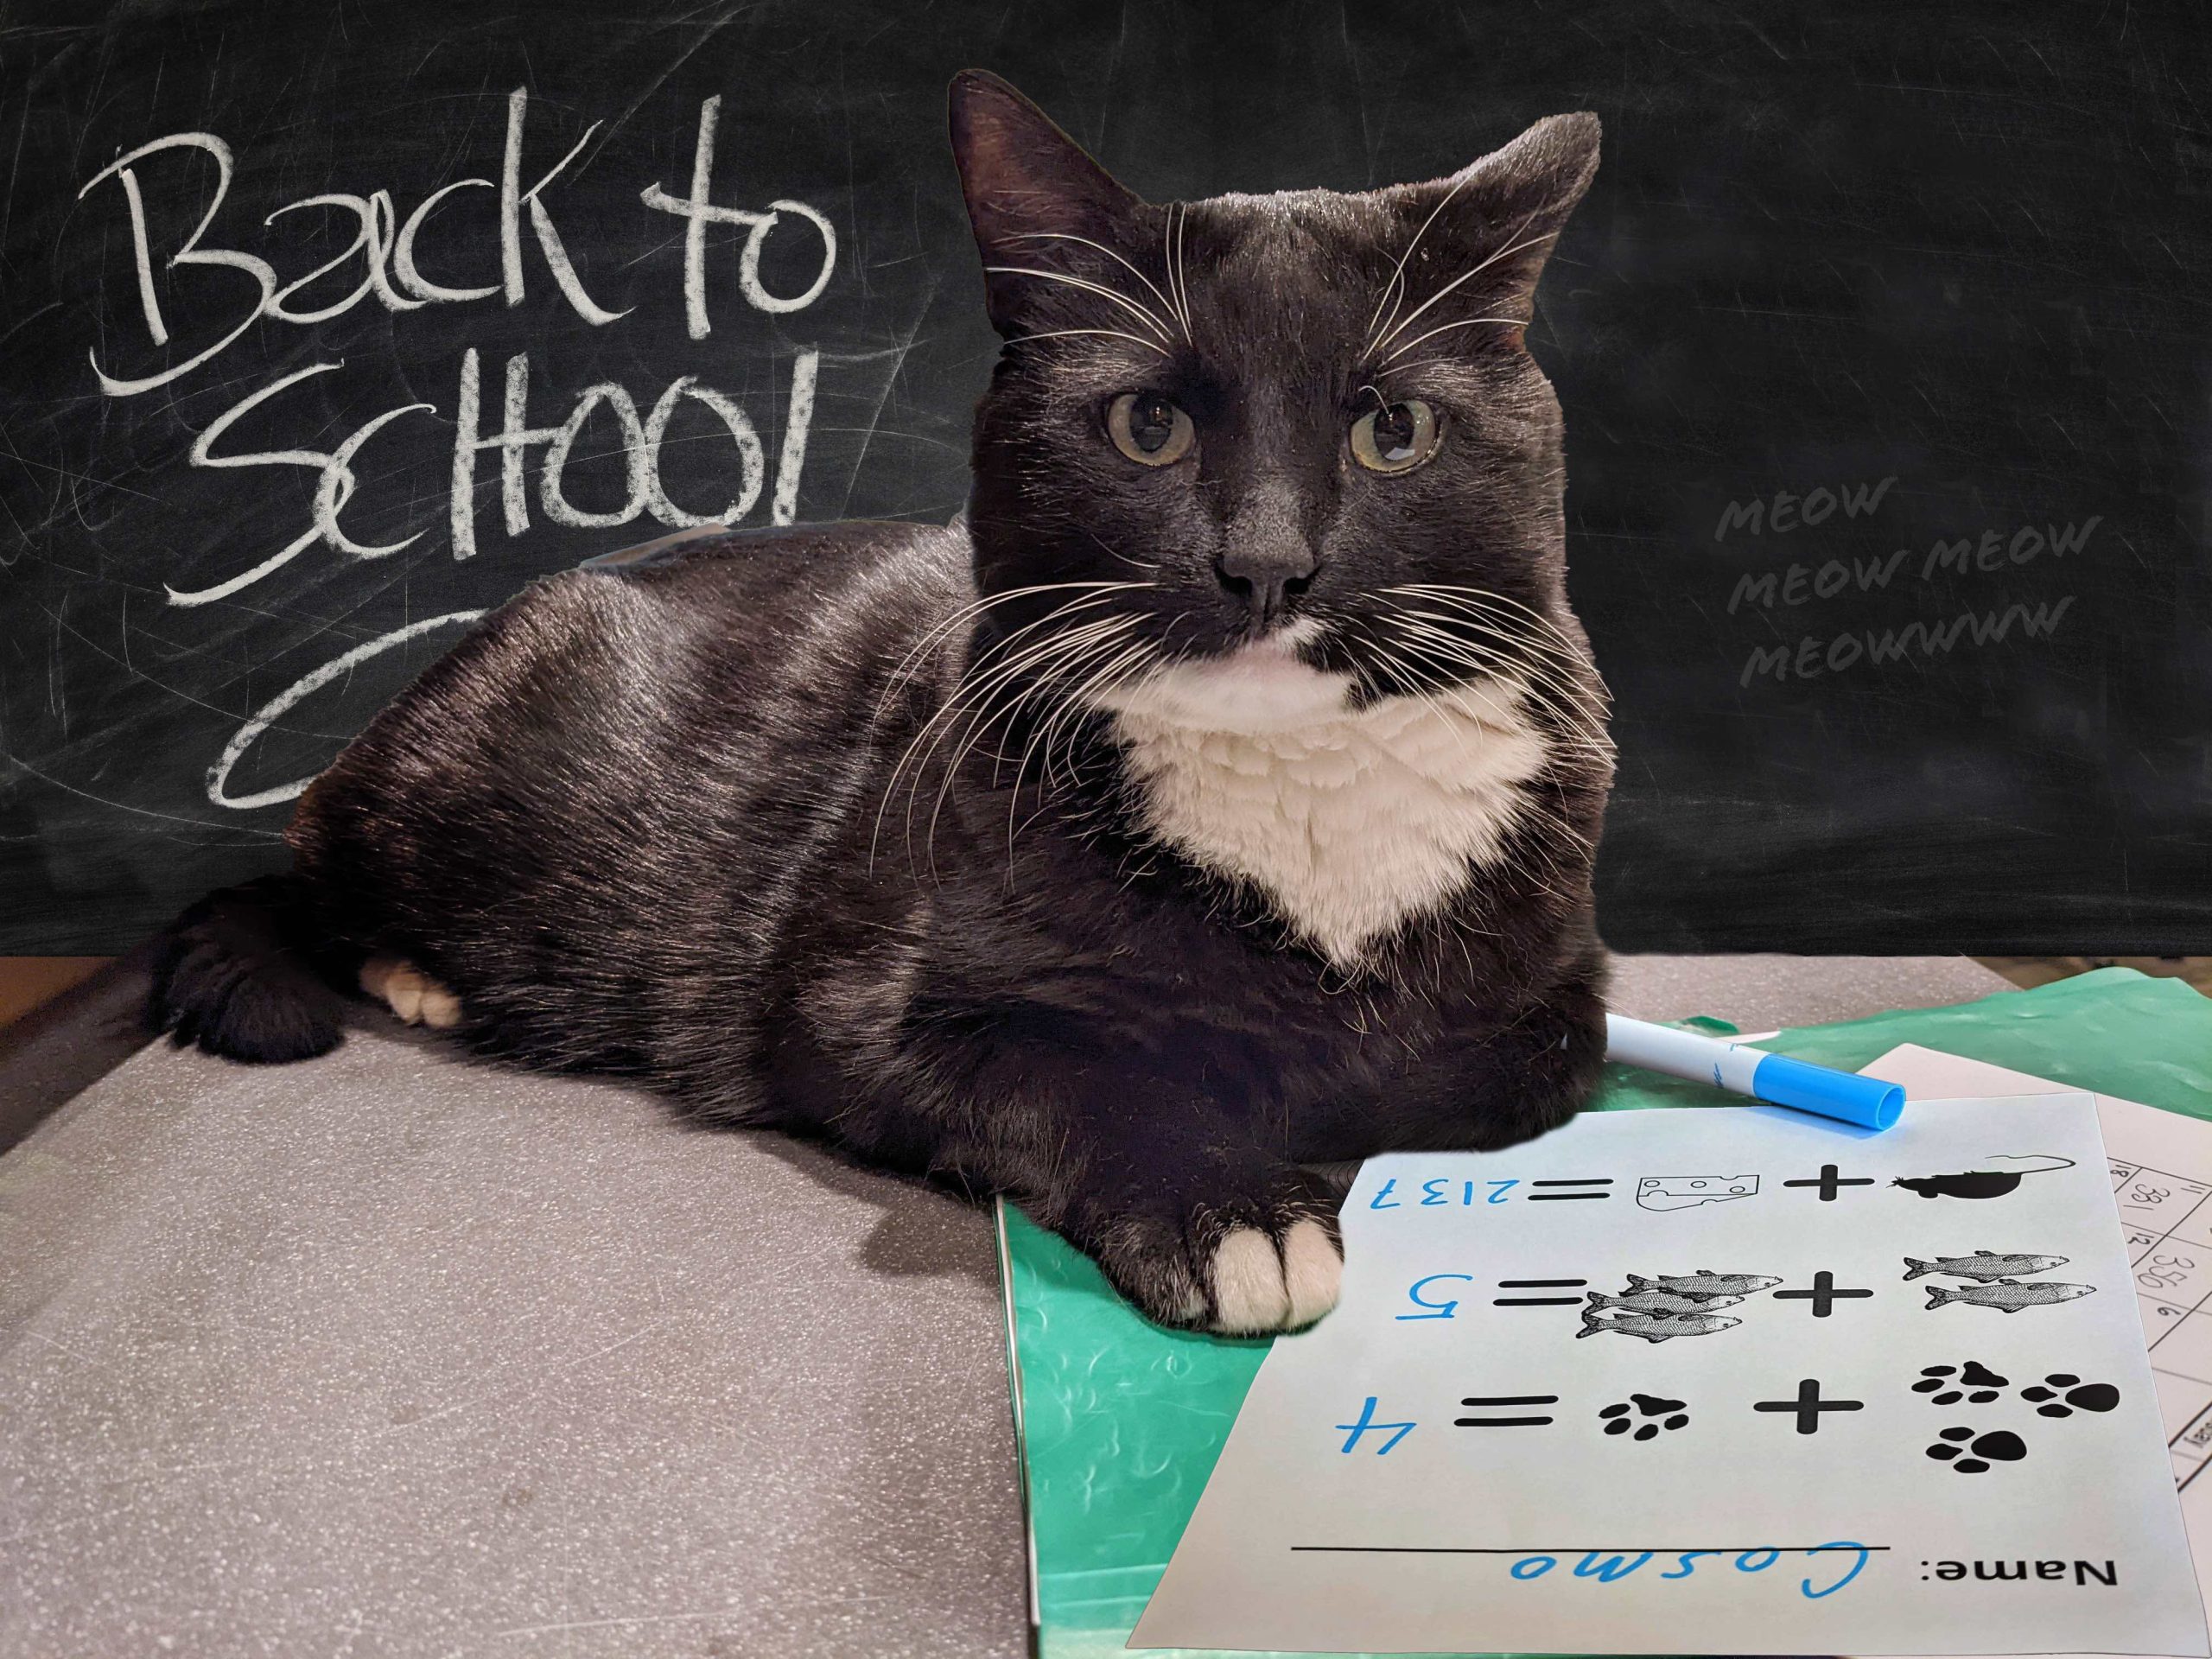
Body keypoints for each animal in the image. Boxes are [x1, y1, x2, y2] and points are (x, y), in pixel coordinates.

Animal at [151, 71, 1610, 1336]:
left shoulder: (1556, 1001)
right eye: (1147, 427)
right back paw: (421, 976)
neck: (1294, 800)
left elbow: (1490, 1069)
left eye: (1392, 432)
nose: (1266, 562)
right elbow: (1084, 1069)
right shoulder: (861, 1005)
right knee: (313, 874)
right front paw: (1230, 1203)